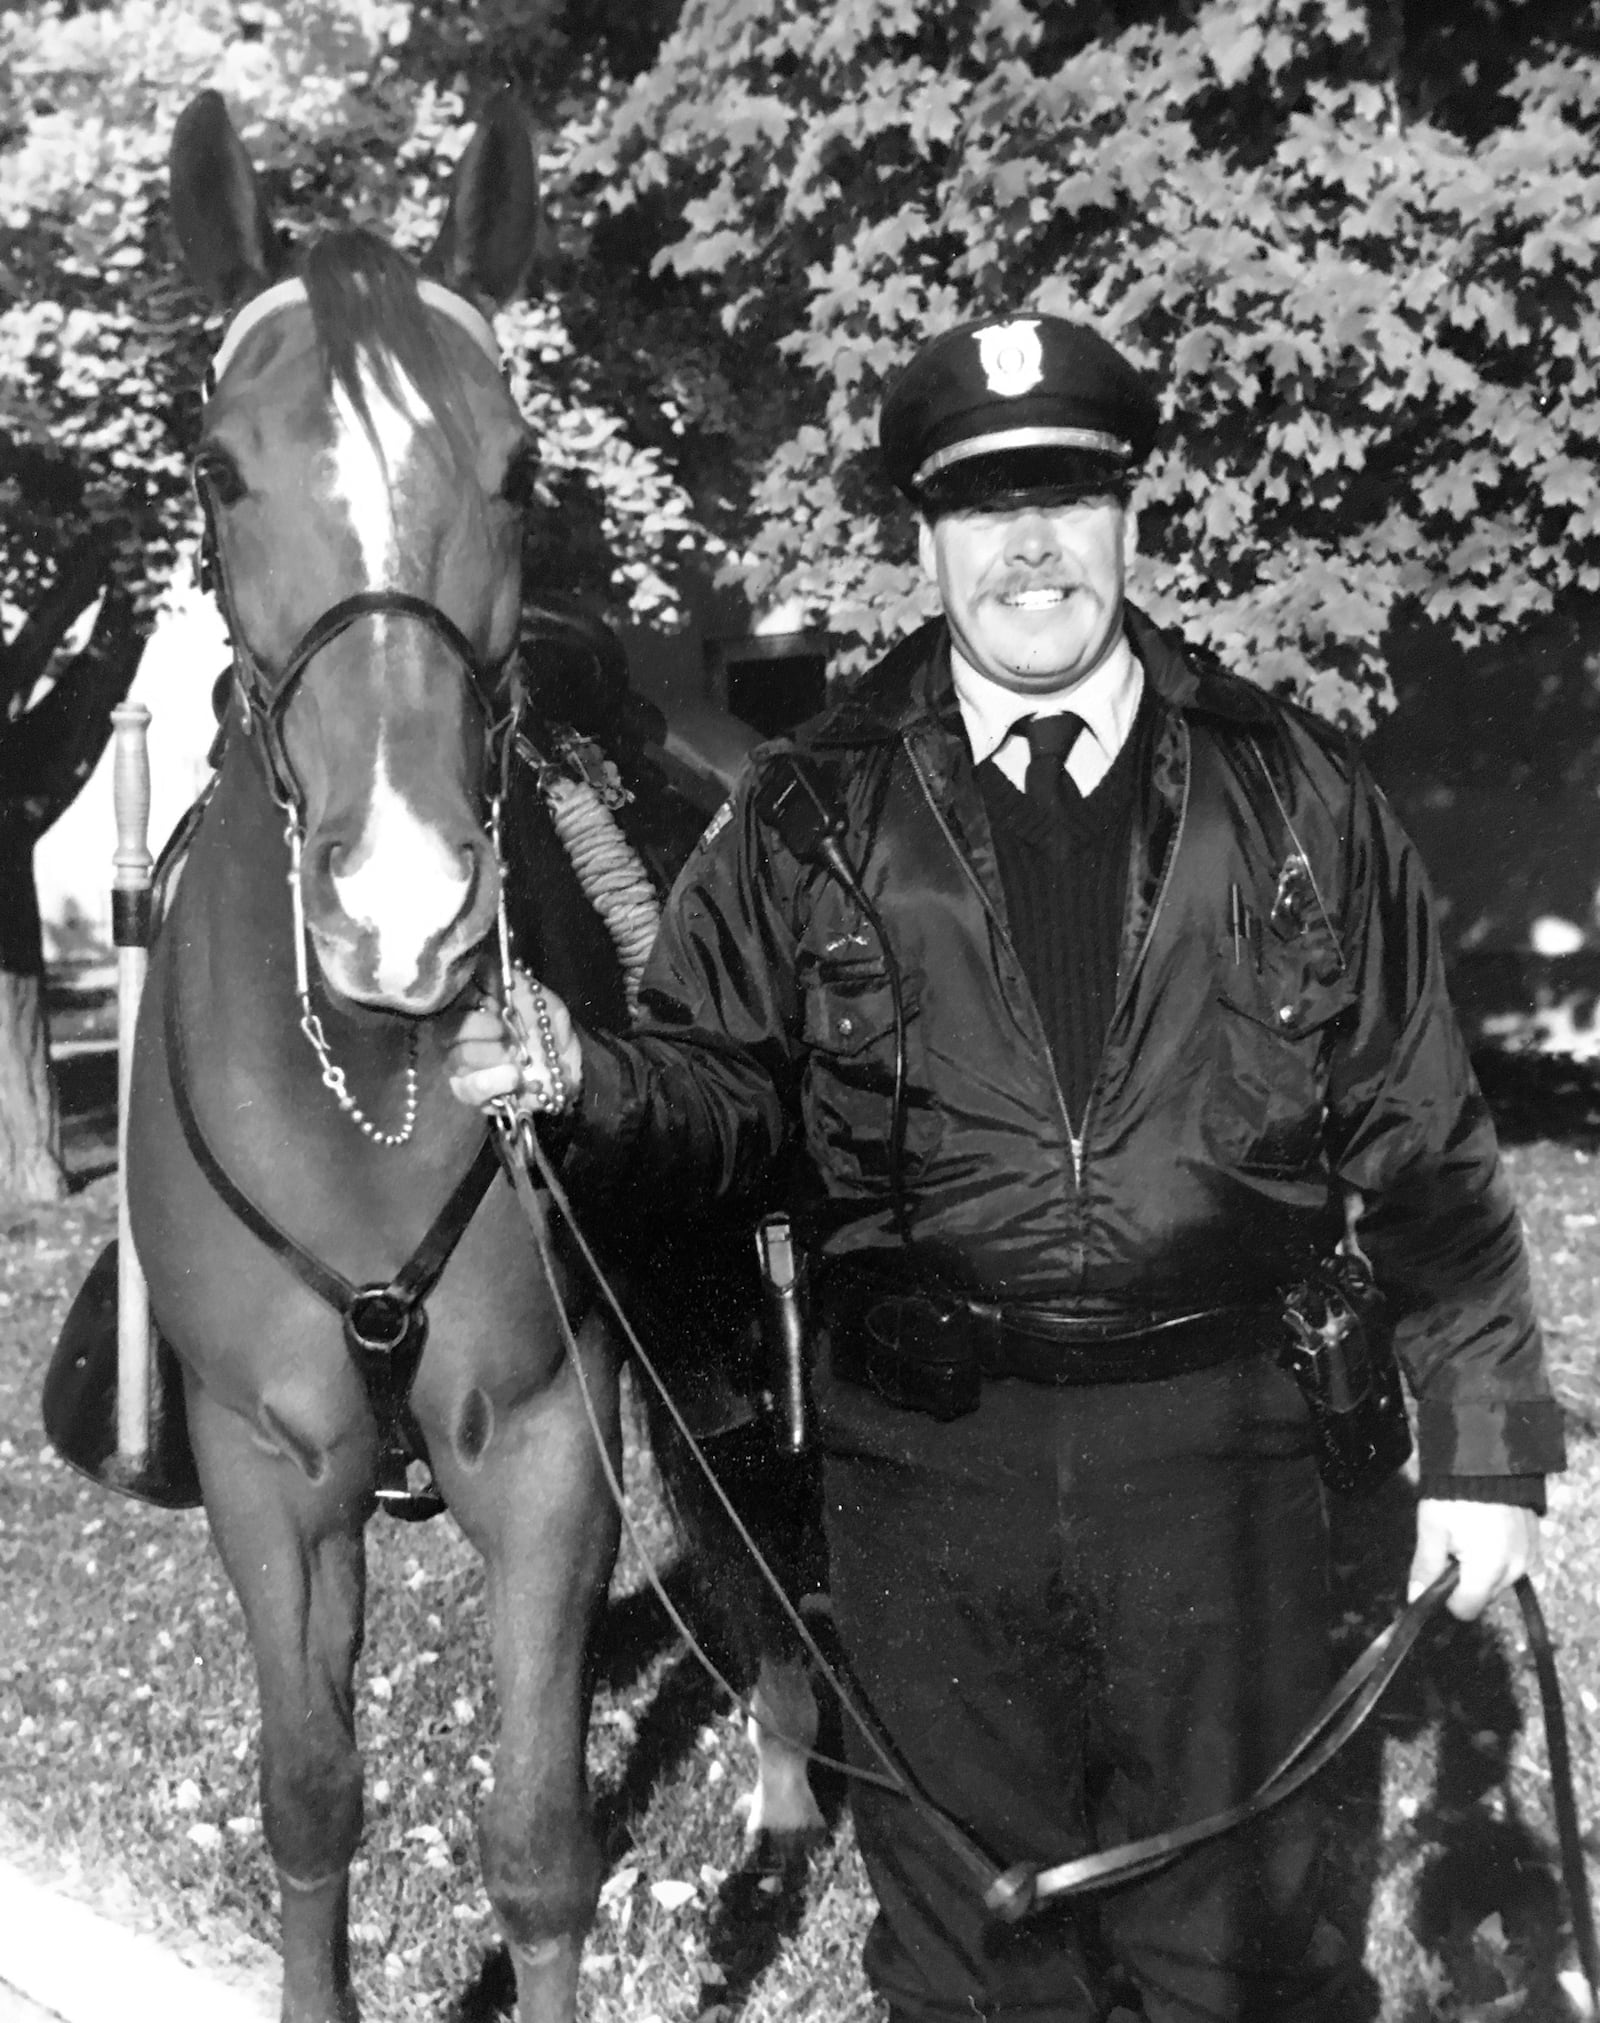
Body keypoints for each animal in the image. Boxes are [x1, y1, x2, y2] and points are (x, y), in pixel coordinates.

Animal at [114, 91, 821, 2023]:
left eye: (519, 471)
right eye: (216, 470)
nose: (404, 912)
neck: (364, 1082)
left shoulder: (541, 1447)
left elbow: (539, 1843)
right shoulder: (267, 1467)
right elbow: (307, 1794)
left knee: (756, 1515)